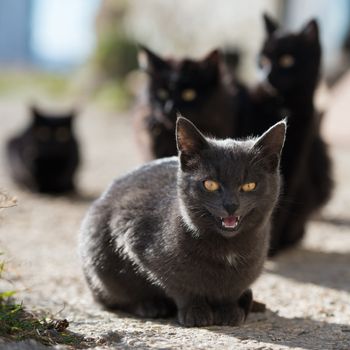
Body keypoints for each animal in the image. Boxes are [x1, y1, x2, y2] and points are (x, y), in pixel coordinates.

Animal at [80, 116, 288, 326]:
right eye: (210, 184)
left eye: (249, 185)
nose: (231, 204)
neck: (228, 248)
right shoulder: (133, 234)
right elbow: (181, 286)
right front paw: (195, 311)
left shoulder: (248, 269)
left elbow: (232, 290)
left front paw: (229, 310)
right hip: (101, 264)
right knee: (113, 297)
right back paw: (150, 306)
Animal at [237, 14, 332, 254]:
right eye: (262, 60)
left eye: (287, 60)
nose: (267, 75)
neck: (283, 105)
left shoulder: (295, 156)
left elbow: (280, 199)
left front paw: (270, 247)